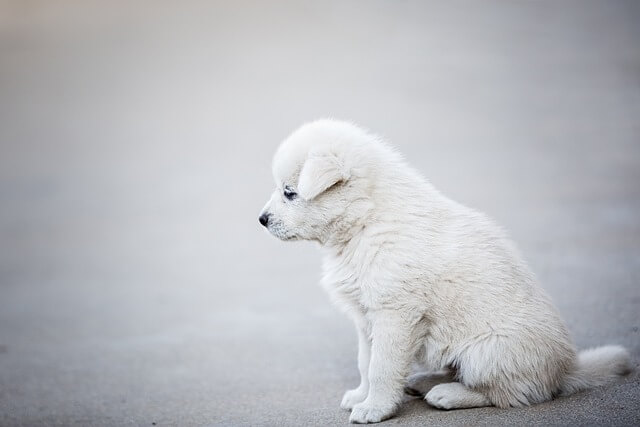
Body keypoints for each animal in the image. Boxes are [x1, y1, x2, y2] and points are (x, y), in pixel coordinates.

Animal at [258, 120, 632, 424]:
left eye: (290, 193)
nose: (261, 219)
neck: (366, 221)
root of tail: (565, 370)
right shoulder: (366, 317)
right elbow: (366, 361)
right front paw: (361, 396)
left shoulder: (395, 314)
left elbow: (382, 367)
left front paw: (375, 409)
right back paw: (424, 382)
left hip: (488, 352)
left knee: (510, 394)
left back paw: (448, 394)